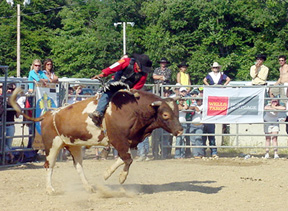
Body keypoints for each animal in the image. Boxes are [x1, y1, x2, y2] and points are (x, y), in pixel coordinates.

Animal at [11, 88, 183, 195]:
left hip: (74, 145)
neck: (133, 109)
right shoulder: (118, 140)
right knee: (49, 165)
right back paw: (50, 189)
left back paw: (88, 187)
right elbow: (127, 159)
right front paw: (121, 177)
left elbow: (124, 158)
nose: (180, 130)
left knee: (78, 166)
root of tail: (48, 114)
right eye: (165, 114)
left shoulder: (131, 142)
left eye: (177, 111)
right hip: (52, 145)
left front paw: (107, 174)